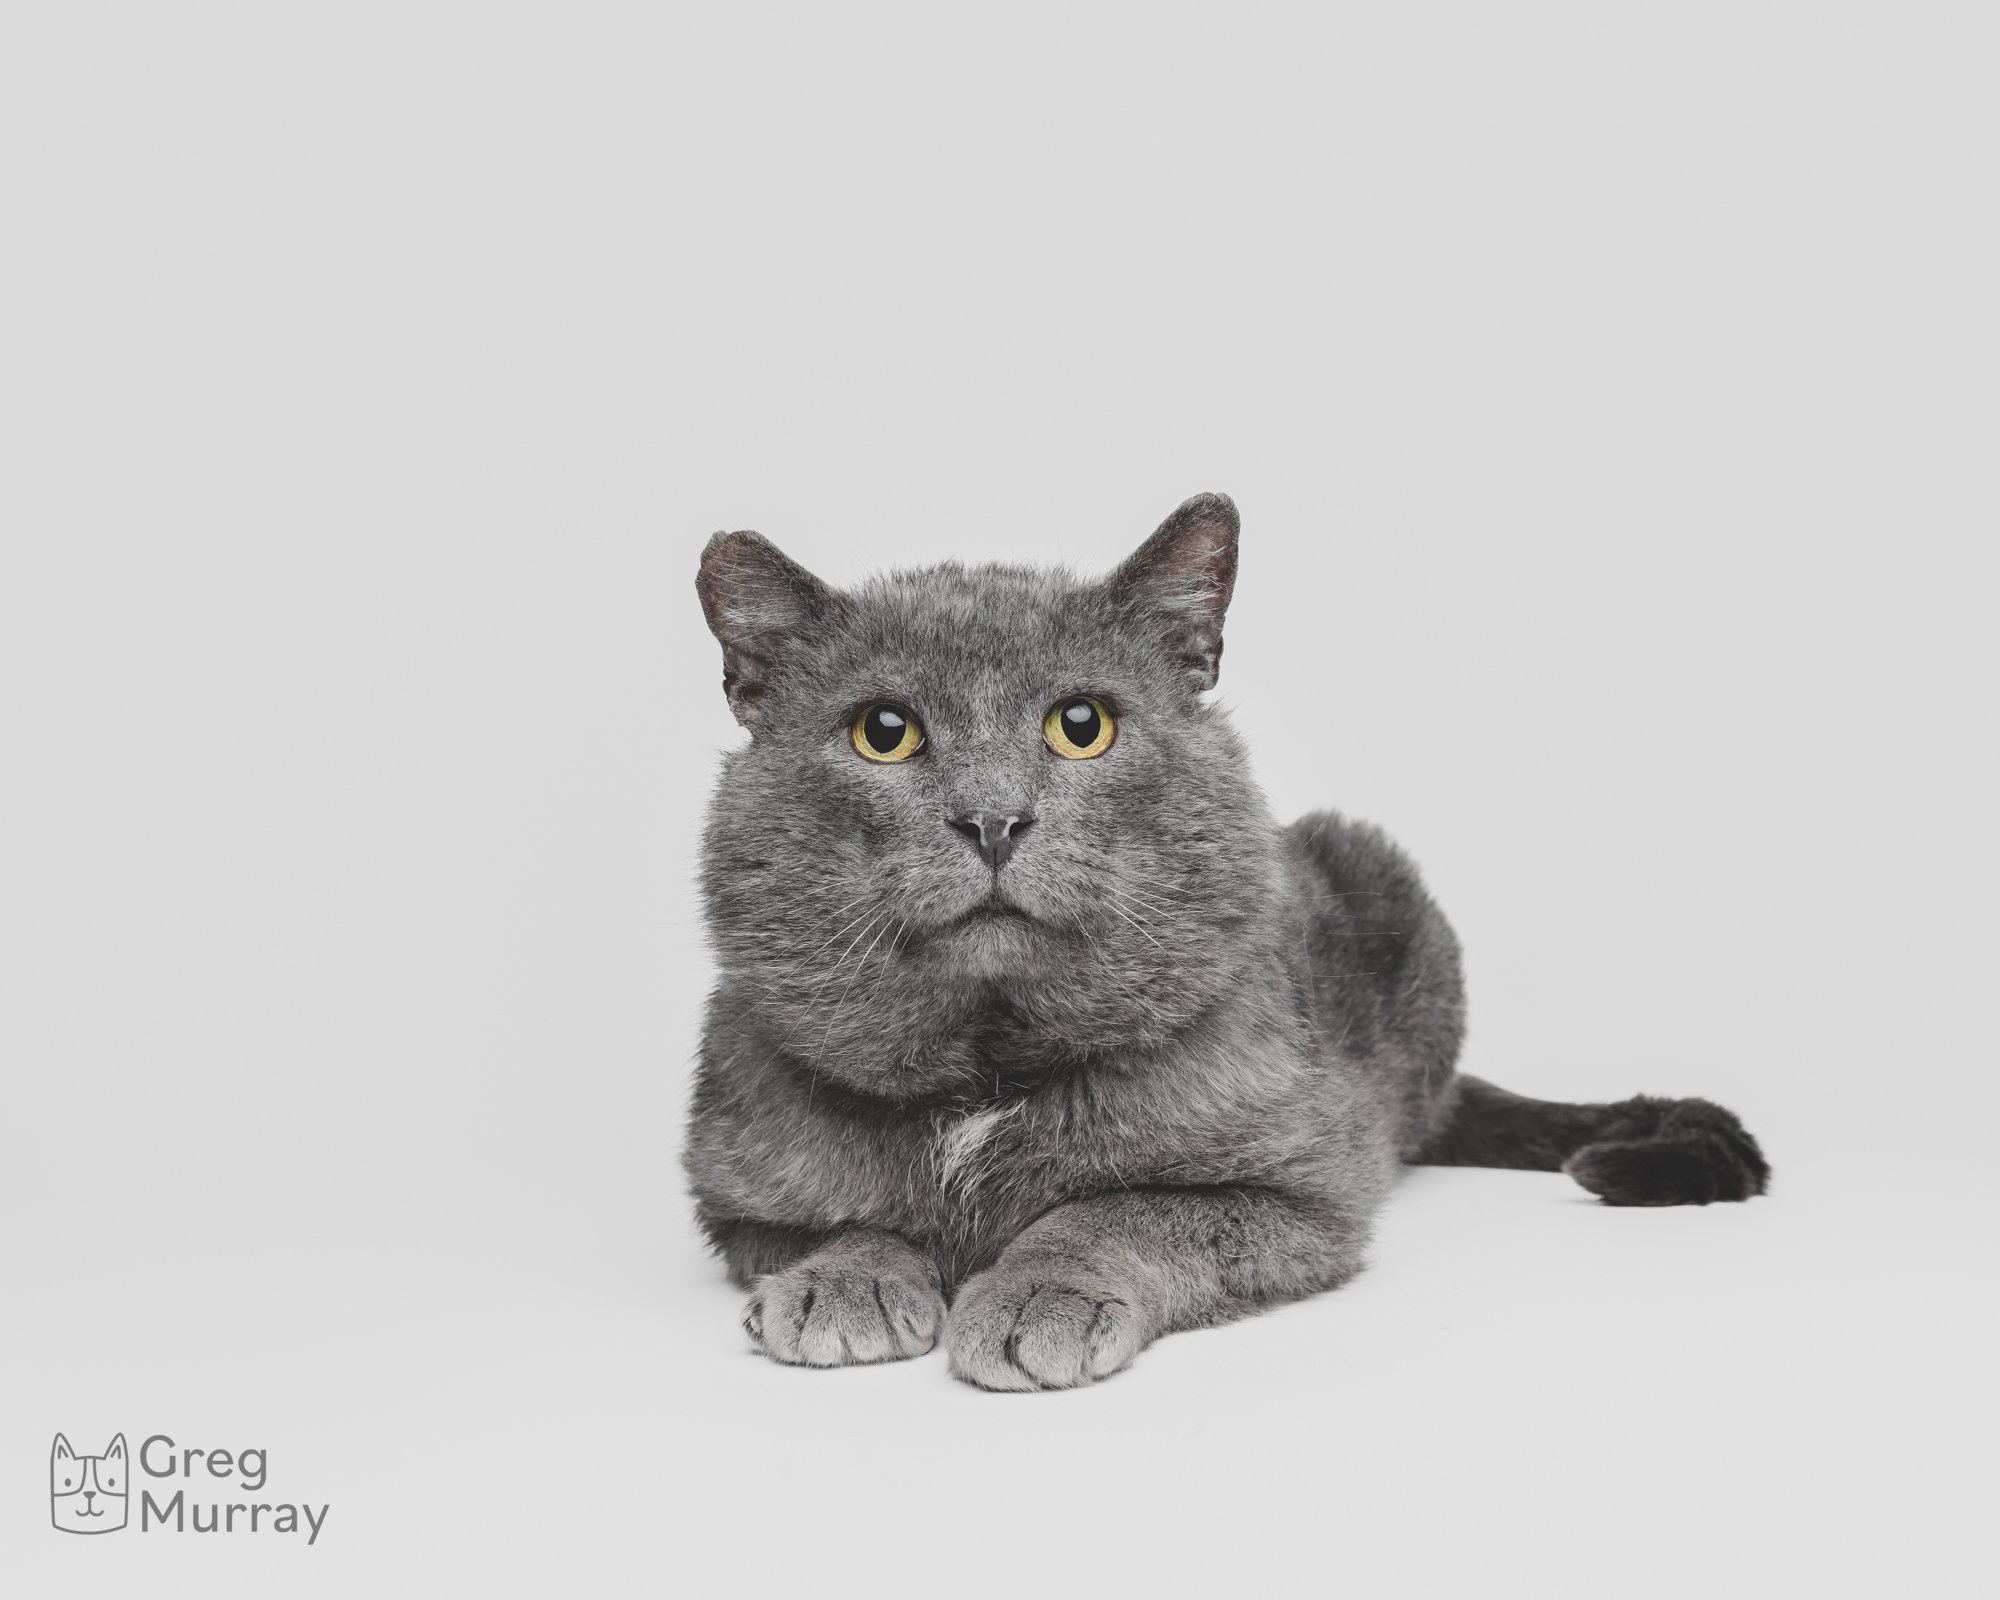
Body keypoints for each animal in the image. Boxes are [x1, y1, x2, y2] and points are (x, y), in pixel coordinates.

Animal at [692, 496, 1768, 1384]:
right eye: (884, 731)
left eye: (1080, 724)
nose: (993, 819)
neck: (988, 1070)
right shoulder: (734, 1192)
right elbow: (835, 1221)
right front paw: (844, 1281)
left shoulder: (1300, 1191)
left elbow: (1121, 1209)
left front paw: (1041, 1291)